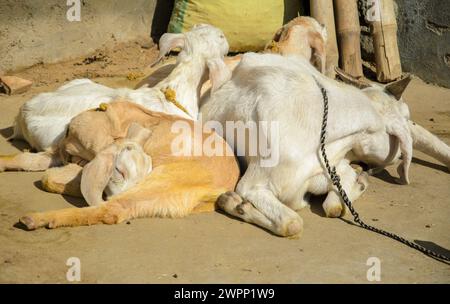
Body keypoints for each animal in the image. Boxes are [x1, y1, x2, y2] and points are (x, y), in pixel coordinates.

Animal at [201, 53, 450, 236]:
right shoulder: (252, 184)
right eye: (405, 117)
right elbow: (293, 223)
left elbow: (333, 205)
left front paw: (358, 183)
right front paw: (237, 204)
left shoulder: (331, 165)